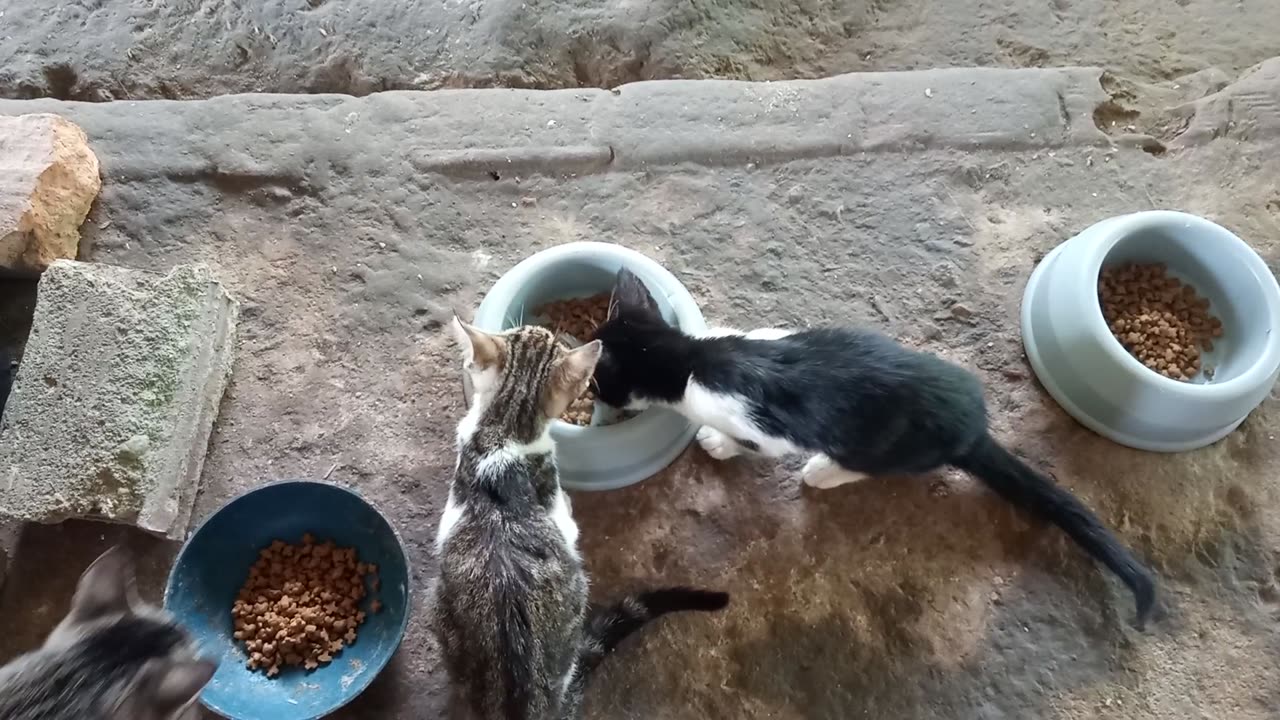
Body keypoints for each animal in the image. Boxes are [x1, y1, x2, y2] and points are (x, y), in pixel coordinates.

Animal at [588, 266, 1162, 625]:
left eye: (596, 383)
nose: (591, 396)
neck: (690, 361)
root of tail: (971, 427)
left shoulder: (761, 426)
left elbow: (754, 445)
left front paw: (718, 444)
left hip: (881, 441)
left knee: (877, 462)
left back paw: (824, 471)